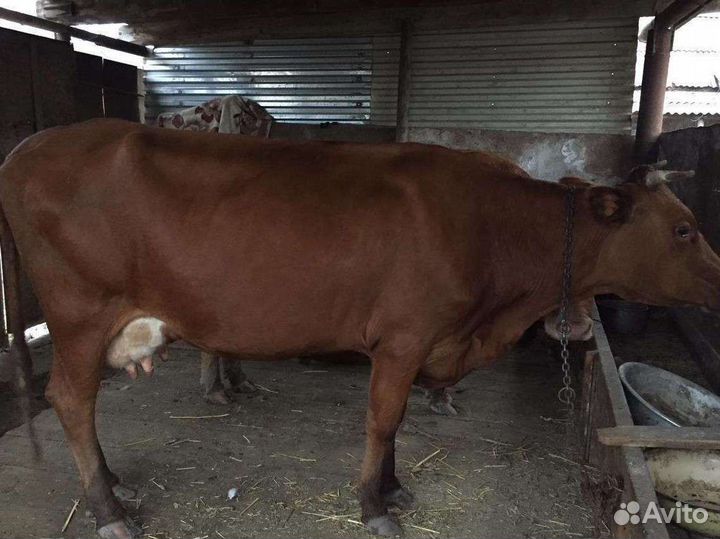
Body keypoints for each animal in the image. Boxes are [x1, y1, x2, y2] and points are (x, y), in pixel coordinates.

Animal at [1, 119, 718, 538]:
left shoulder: (420, 342)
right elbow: (383, 419)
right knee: (71, 400)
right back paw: (109, 513)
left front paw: (395, 490)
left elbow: (396, 426)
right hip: (80, 313)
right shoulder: (404, 336)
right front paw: (374, 505)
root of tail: (28, 146)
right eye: (684, 229)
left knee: (81, 406)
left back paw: (114, 483)